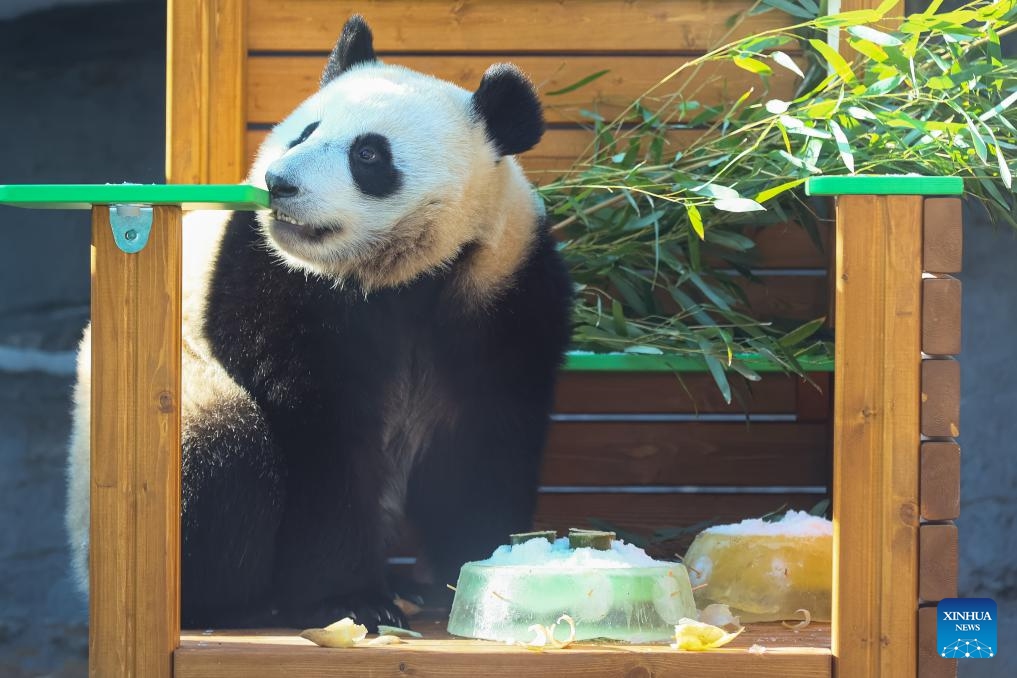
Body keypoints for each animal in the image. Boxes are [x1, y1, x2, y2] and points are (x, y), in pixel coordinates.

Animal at [65, 15, 573, 630]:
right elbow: (322, 437)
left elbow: (485, 438)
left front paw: (482, 570)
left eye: (369, 154)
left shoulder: (501, 293)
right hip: (174, 408)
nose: (280, 184)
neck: (402, 277)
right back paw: (231, 600)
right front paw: (352, 599)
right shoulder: (282, 286)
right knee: (222, 454)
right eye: (304, 132)